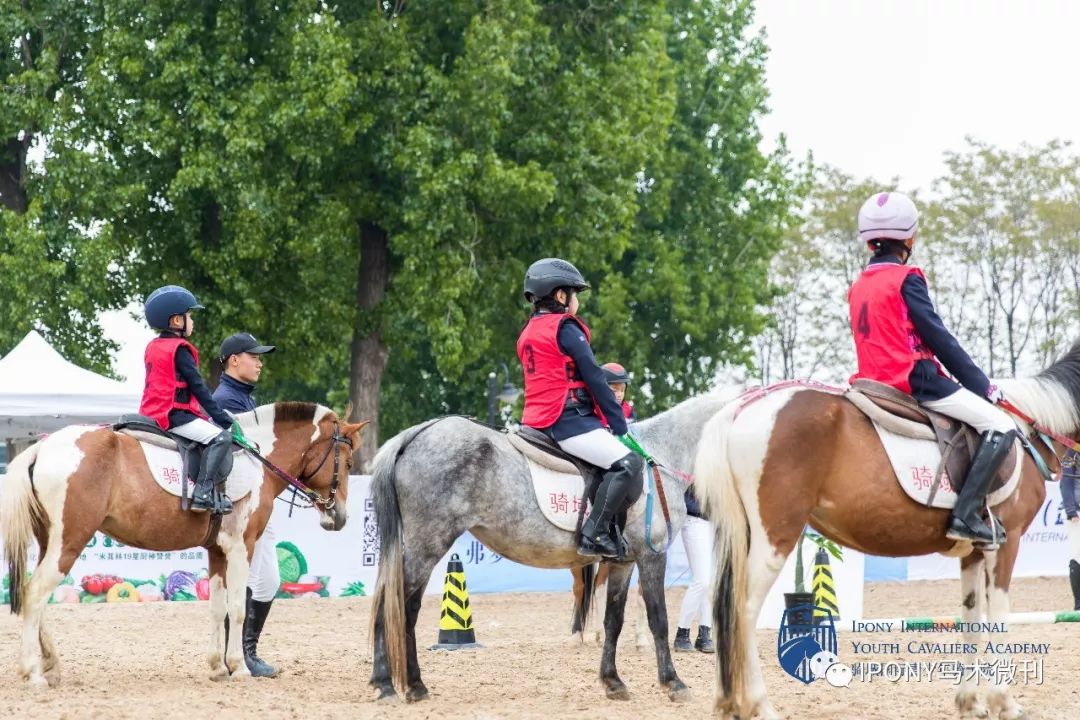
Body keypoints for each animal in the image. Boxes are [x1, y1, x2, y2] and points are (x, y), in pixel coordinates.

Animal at [2, 399, 367, 686]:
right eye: (348, 463)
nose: (340, 517)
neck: (258, 459)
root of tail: (42, 446)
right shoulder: (241, 547)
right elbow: (237, 608)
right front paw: (238, 667)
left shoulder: (218, 551)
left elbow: (217, 607)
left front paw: (217, 667)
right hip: (69, 542)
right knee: (35, 595)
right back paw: (33, 671)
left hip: (50, 543)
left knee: (38, 597)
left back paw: (51, 665)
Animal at [365, 390, 734, 699]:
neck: (662, 454)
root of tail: (417, 433)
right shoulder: (651, 555)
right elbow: (659, 618)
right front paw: (673, 682)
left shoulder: (622, 562)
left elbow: (613, 621)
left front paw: (612, 681)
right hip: (428, 544)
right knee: (394, 605)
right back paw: (395, 685)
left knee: (400, 605)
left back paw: (403, 684)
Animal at [691, 349, 1080, 720]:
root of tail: (742, 408)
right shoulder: (1006, 543)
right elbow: (998, 619)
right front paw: (1005, 703)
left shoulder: (974, 551)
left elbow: (972, 620)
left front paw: (971, 703)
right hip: (774, 538)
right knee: (743, 610)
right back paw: (760, 705)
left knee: (724, 607)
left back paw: (728, 702)